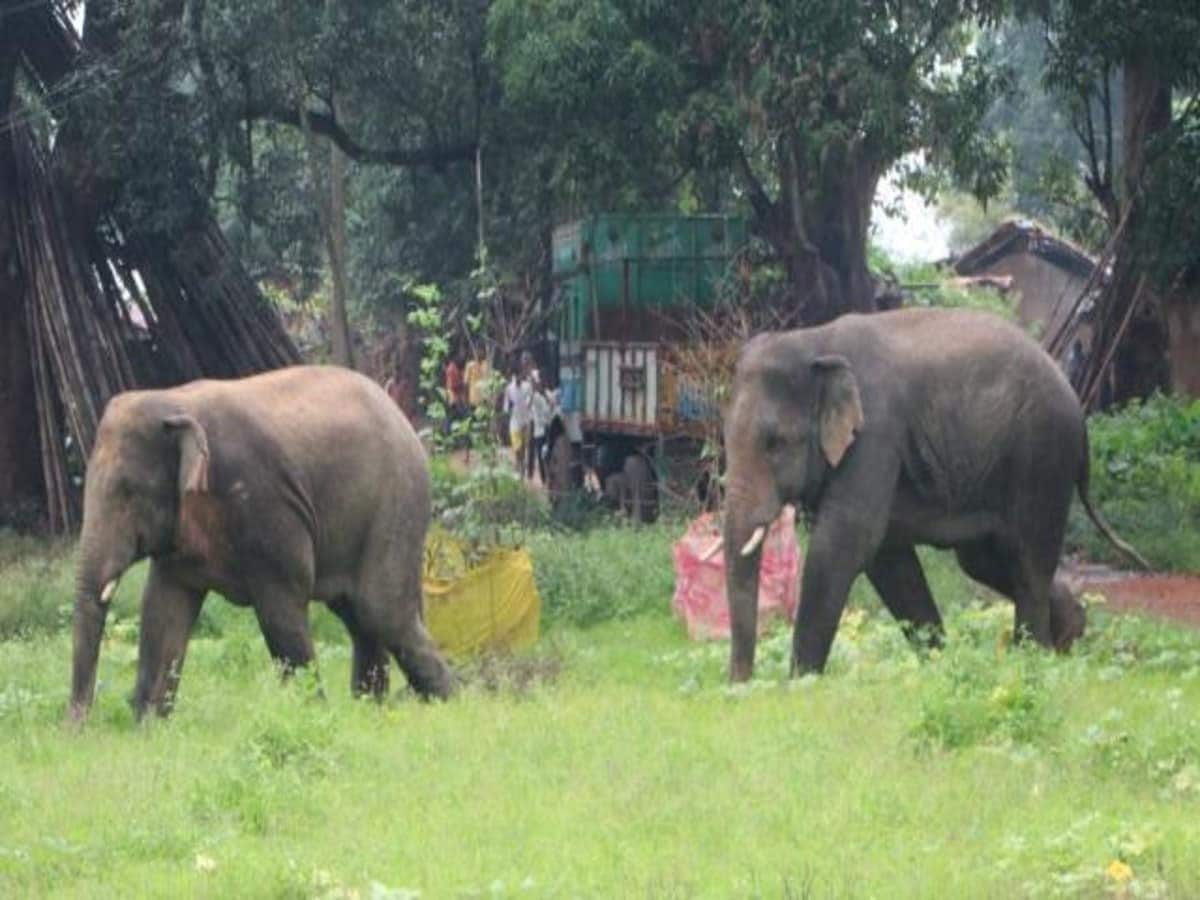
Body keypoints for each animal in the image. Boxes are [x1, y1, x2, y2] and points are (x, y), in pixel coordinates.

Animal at [69, 362, 453, 724]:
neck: (174, 400)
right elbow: (163, 610)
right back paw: (372, 711)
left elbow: (280, 608)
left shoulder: (265, 502)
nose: (75, 731)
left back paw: (450, 704)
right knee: (359, 616)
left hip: (397, 500)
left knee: (382, 611)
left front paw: (312, 716)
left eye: (128, 493)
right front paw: (150, 729)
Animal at [715, 309, 1147, 681]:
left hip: (1042, 457)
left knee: (1028, 561)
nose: (739, 686)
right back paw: (1070, 634)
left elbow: (847, 541)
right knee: (985, 561)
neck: (814, 340)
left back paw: (1034, 656)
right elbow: (887, 557)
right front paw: (937, 662)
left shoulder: (877, 431)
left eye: (776, 443)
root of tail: (1077, 404)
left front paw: (800, 683)